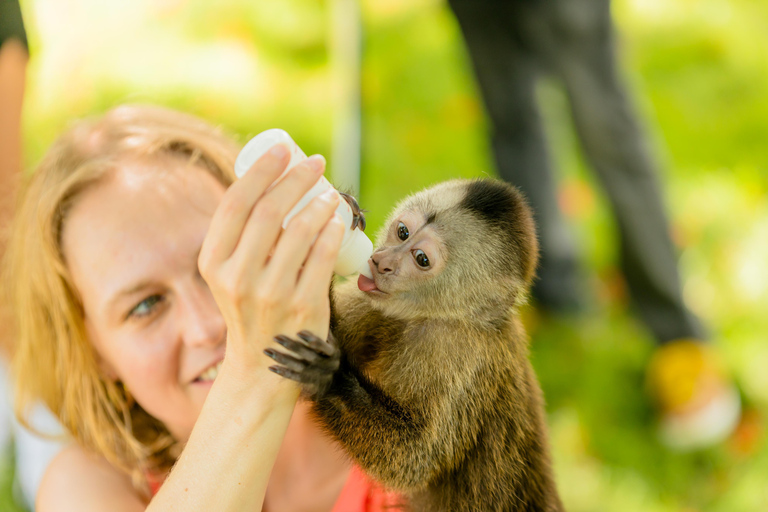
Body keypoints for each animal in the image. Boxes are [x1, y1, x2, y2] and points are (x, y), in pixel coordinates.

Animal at [264, 178, 564, 510]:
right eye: (403, 232)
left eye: (421, 259)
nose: (382, 263)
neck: (438, 315)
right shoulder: (372, 304)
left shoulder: (455, 351)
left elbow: (410, 460)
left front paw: (328, 376)